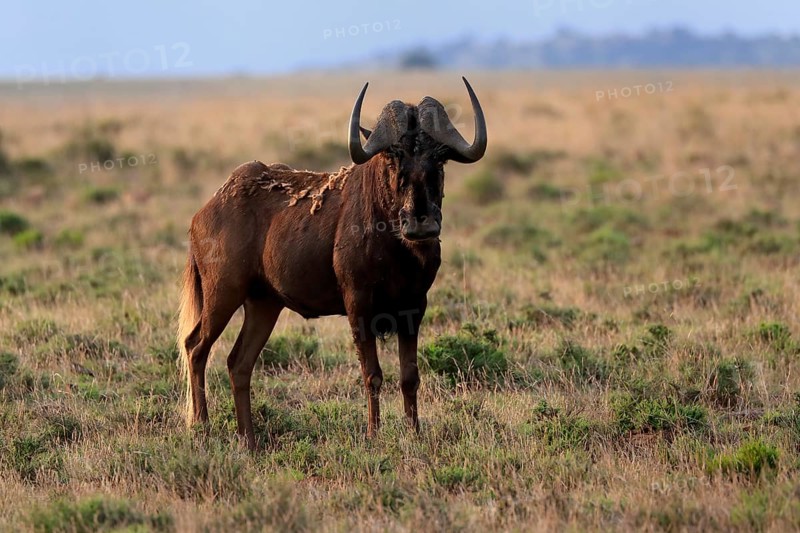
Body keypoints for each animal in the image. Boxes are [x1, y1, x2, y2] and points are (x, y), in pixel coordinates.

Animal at [177, 77, 487, 449]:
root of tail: (205, 210)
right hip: (223, 294)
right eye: (393, 156)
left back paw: (249, 439)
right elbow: (373, 374)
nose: (421, 223)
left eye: (439, 158)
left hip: (263, 304)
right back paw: (201, 427)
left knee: (239, 363)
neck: (394, 244)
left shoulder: (414, 308)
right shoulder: (359, 307)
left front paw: (415, 433)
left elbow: (409, 376)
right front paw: (373, 434)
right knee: (196, 347)